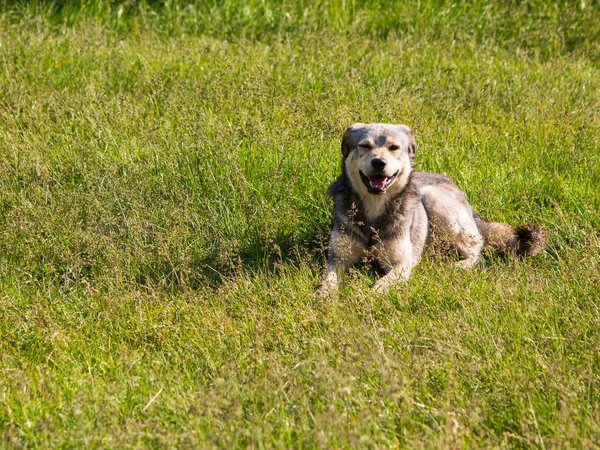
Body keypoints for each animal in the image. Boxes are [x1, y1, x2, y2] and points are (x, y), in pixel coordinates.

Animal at [322, 122, 548, 296]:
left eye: (394, 147)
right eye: (364, 146)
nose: (379, 162)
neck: (374, 207)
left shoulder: (401, 264)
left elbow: (382, 284)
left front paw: (369, 295)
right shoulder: (337, 258)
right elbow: (328, 279)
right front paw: (324, 296)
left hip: (436, 203)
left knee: (477, 253)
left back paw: (455, 266)